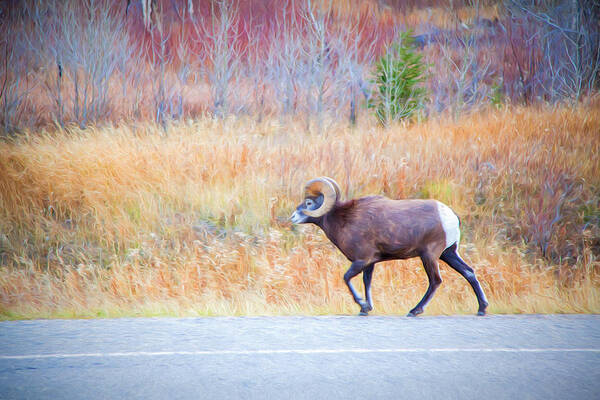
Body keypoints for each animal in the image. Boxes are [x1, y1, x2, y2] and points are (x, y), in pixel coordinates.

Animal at [290, 177, 488, 318]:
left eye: (308, 203)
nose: (292, 217)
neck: (344, 220)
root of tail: (450, 217)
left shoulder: (361, 260)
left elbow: (346, 278)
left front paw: (362, 305)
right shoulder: (369, 263)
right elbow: (367, 282)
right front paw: (366, 309)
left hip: (429, 256)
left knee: (435, 281)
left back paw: (414, 311)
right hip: (448, 254)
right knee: (469, 272)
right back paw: (482, 309)